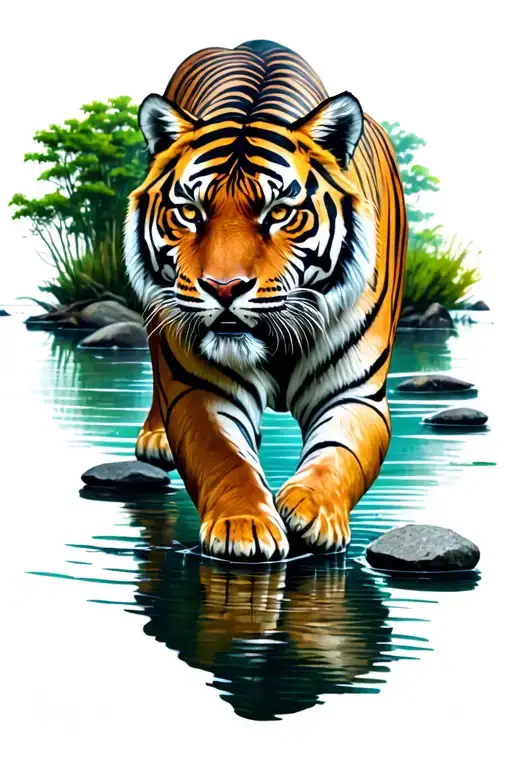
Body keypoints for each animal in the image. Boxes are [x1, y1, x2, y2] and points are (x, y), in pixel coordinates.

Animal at [125, 39, 407, 561]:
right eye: (190, 212)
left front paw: (314, 510)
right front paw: (245, 526)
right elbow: (223, 455)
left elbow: (341, 454)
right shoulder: (202, 388)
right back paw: (155, 438)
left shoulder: (355, 392)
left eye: (278, 213)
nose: (224, 288)